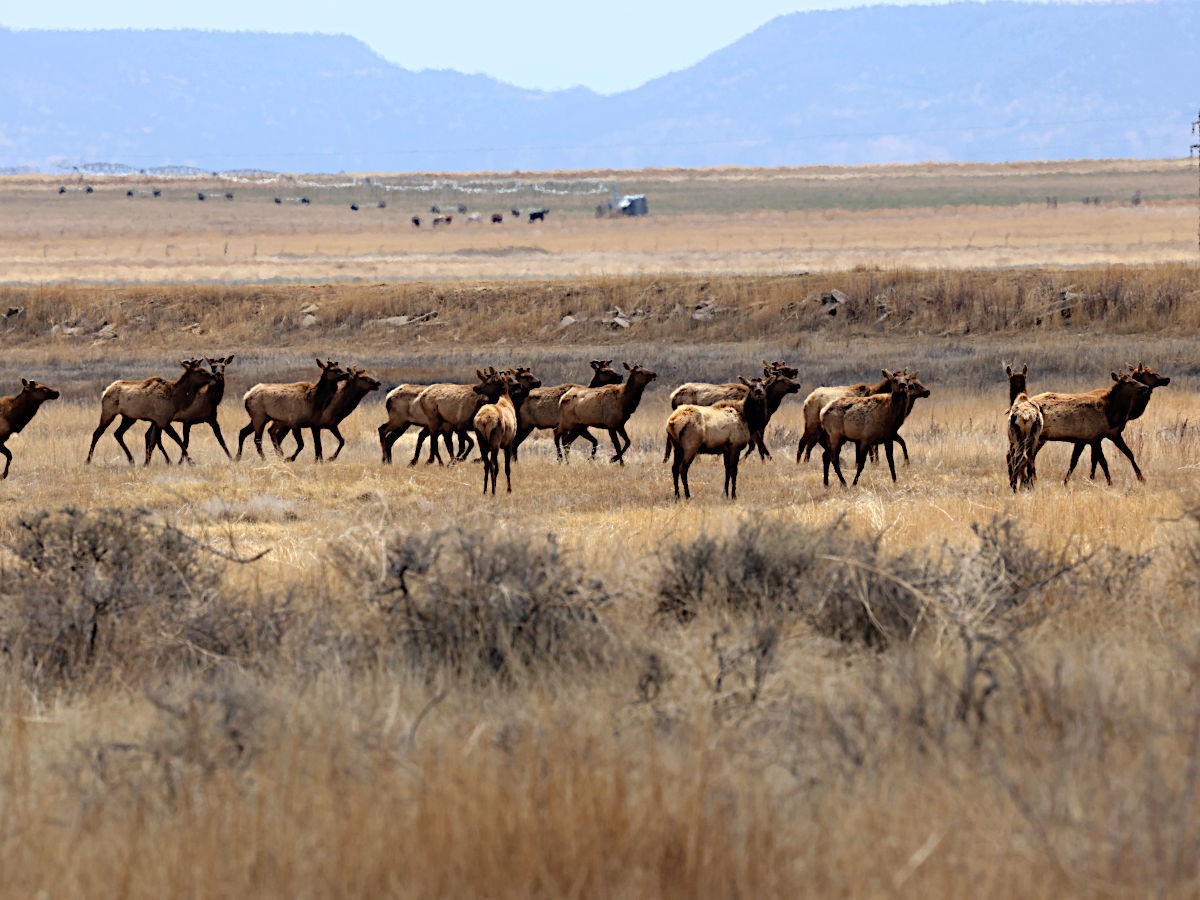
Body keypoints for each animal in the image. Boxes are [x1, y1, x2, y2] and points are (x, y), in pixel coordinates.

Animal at [86, 360, 218, 465]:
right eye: (200, 371)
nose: (215, 376)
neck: (176, 398)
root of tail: (105, 391)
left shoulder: (158, 421)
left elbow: (153, 441)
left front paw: (148, 462)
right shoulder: (163, 420)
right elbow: (177, 439)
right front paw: (191, 461)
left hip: (129, 418)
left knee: (118, 433)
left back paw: (131, 459)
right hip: (108, 413)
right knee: (97, 433)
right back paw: (88, 460)